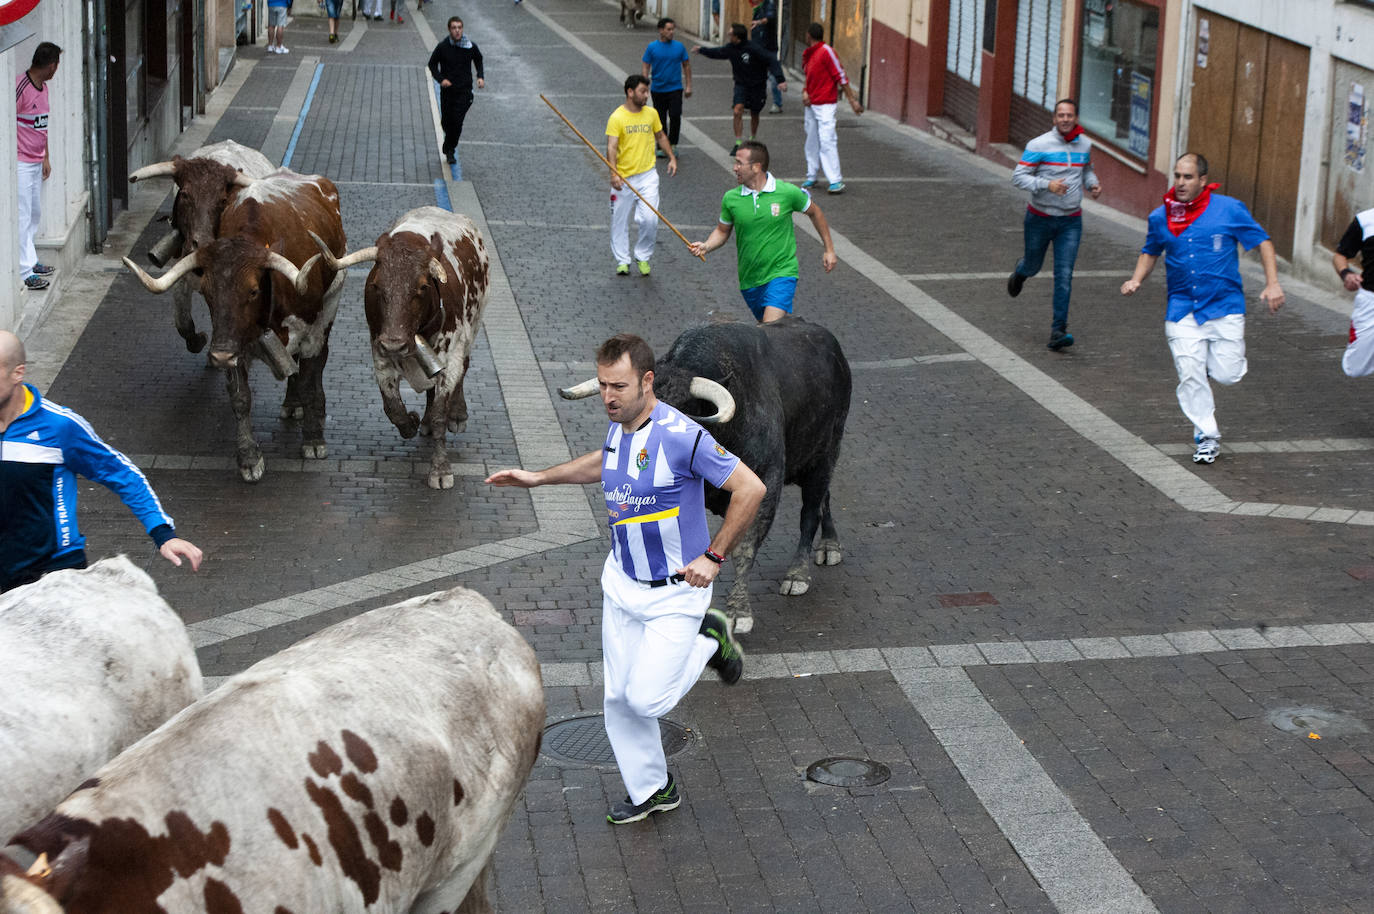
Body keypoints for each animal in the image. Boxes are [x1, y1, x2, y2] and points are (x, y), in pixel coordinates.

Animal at [640, 317, 846, 632]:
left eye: (679, 409)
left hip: (826, 453)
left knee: (811, 511)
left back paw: (799, 573)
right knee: (826, 497)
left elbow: (744, 547)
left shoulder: (764, 485)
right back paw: (829, 543)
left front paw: (739, 612)